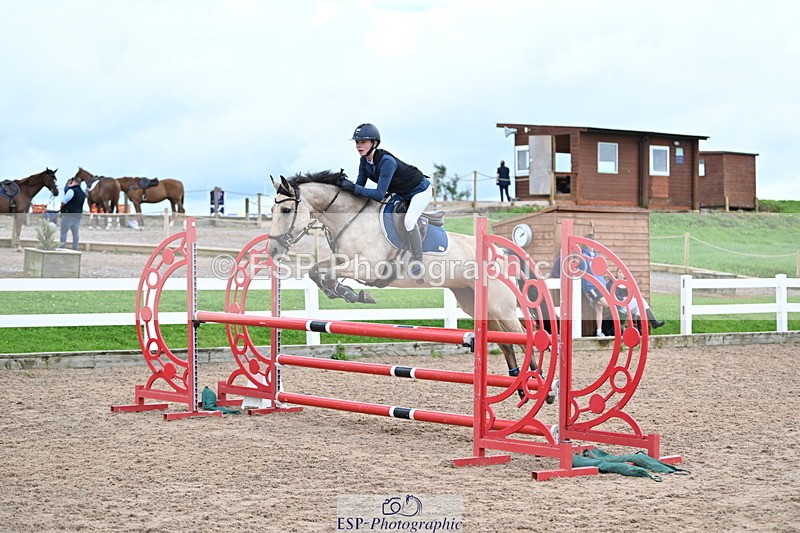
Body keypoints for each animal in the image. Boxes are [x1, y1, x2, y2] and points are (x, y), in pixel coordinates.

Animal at [266, 170, 540, 385]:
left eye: (286, 209)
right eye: (272, 210)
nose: (273, 250)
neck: (351, 219)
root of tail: (500, 251)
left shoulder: (368, 268)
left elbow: (331, 274)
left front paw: (352, 293)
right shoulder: (343, 260)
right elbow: (315, 270)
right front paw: (345, 292)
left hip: (500, 305)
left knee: (524, 337)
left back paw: (537, 386)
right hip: (474, 303)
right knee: (505, 342)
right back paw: (517, 382)